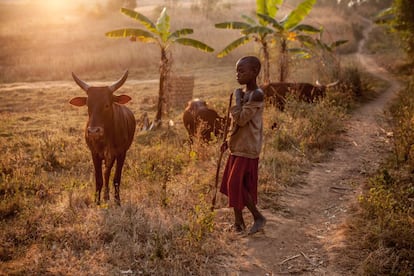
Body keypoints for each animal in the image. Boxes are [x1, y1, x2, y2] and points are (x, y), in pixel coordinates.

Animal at [69, 70, 136, 205]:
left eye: (106, 105)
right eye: (88, 105)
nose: (93, 131)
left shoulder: (121, 153)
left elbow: (116, 178)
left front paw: (117, 202)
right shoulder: (95, 154)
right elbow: (99, 179)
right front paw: (97, 202)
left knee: (108, 173)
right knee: (106, 173)